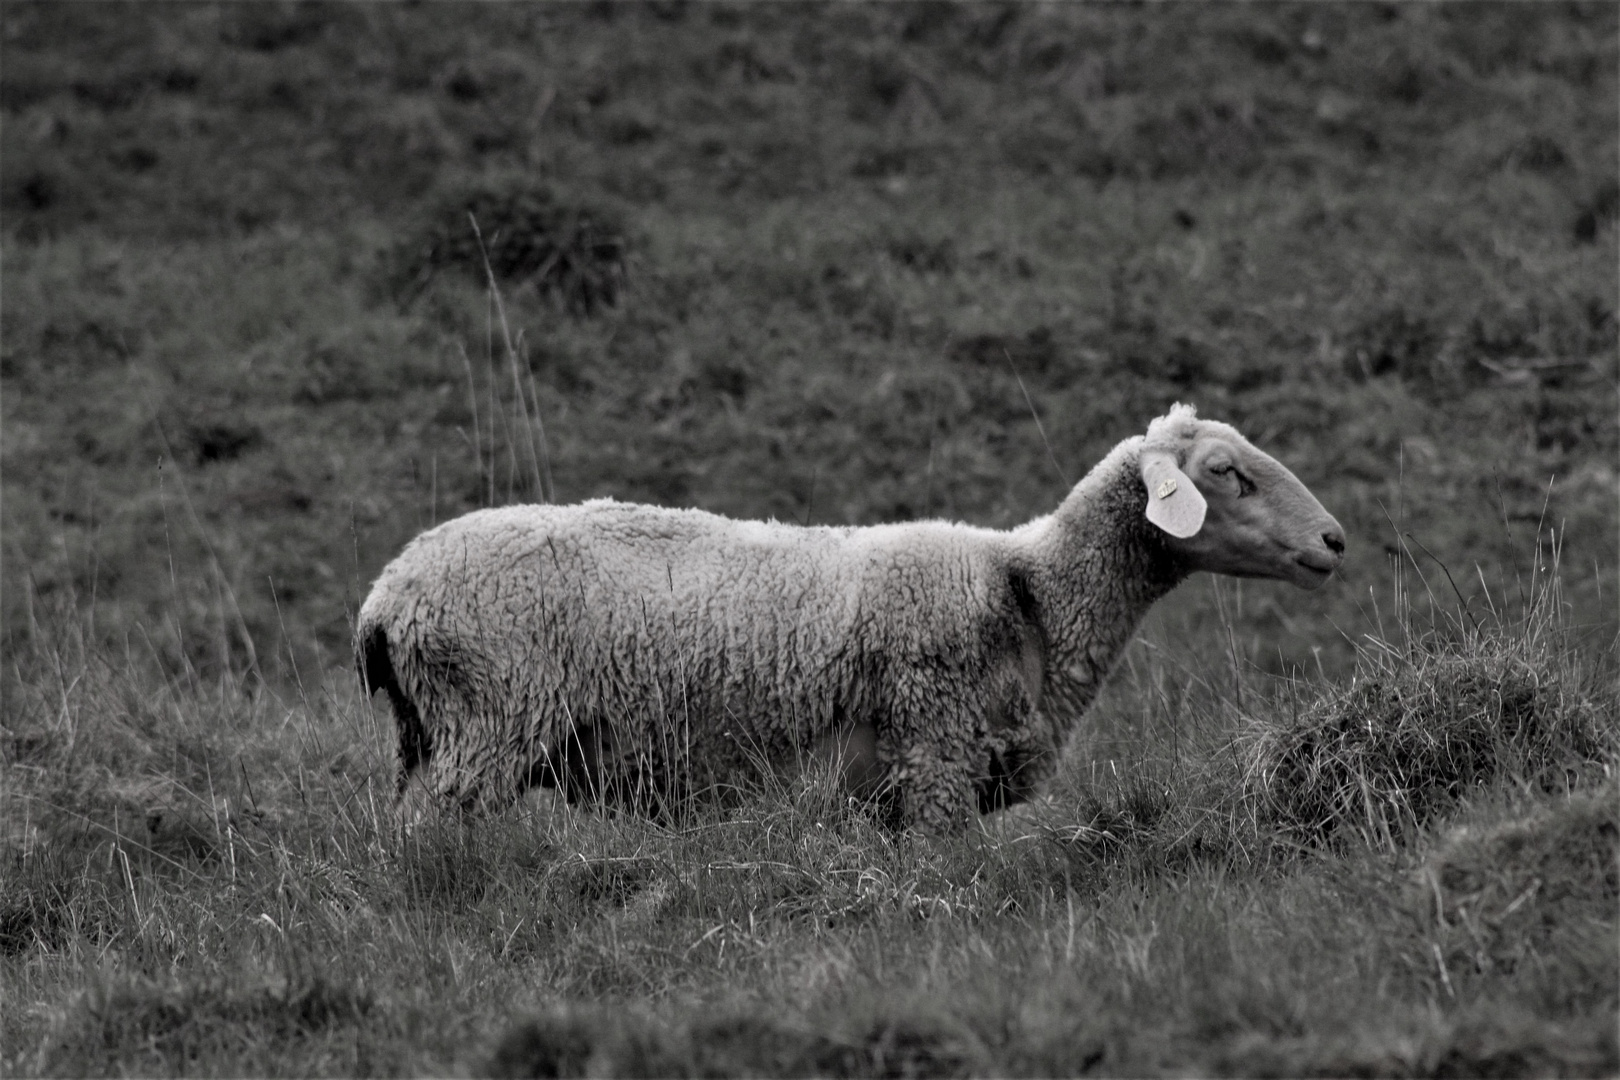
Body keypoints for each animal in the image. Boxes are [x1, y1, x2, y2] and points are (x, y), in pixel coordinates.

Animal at [354, 404, 1341, 835]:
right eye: (1227, 472)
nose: (1334, 540)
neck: (1030, 591)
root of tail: (385, 598)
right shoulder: (934, 753)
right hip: (487, 721)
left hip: (433, 733)